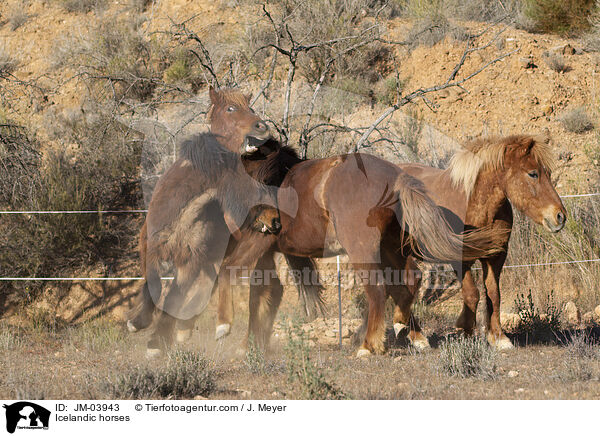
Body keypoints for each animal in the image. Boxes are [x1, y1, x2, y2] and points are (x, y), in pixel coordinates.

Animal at [216, 152, 506, 356]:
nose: (273, 222)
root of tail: (396, 178)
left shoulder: (256, 243)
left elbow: (230, 273)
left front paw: (225, 328)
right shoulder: (267, 252)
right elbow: (264, 293)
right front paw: (251, 343)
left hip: (362, 249)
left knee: (379, 289)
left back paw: (368, 345)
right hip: (390, 247)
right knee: (406, 283)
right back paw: (405, 331)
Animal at [396, 132, 564, 348]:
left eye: (549, 173)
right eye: (533, 174)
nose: (560, 216)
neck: (475, 203)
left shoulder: (496, 257)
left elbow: (493, 294)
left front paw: (499, 337)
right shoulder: (459, 260)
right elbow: (472, 294)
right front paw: (466, 330)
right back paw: (416, 336)